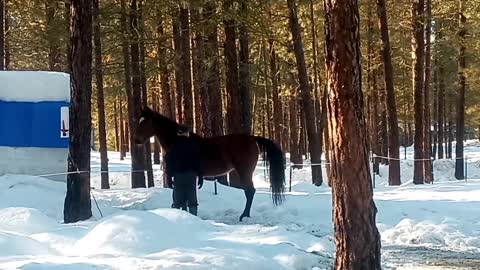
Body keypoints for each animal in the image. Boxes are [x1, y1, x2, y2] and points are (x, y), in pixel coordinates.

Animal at [134, 106, 284, 220]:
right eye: (139, 121)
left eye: (145, 122)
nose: (137, 140)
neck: (180, 140)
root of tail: (253, 138)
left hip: (245, 171)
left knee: (250, 191)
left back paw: (244, 216)